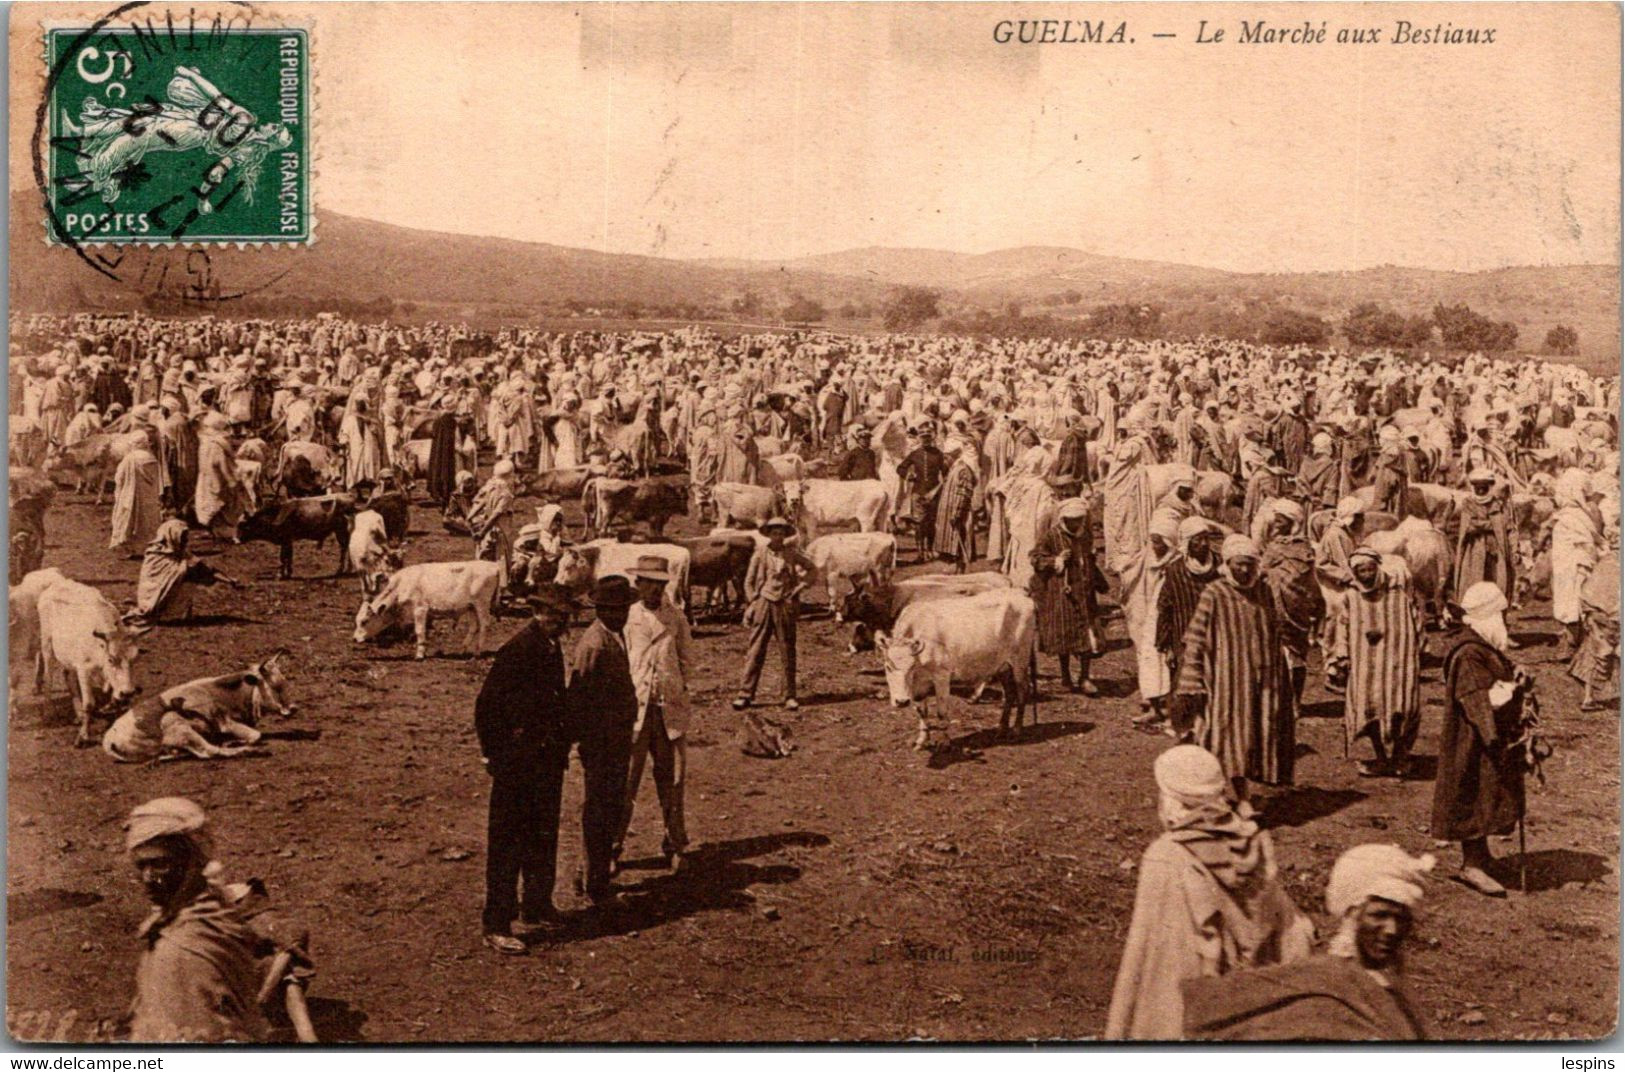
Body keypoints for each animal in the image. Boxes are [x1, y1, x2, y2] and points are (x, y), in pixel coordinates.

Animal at [35, 578, 143, 743]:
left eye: (135, 659)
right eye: (111, 659)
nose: (128, 692)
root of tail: (59, 583)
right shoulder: (84, 669)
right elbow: (89, 704)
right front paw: (83, 736)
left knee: (68, 675)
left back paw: (78, 714)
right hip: (47, 643)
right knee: (48, 677)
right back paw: (48, 713)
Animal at [355, 555, 500, 656]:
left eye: (364, 621)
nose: (355, 639)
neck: (401, 586)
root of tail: (494, 565)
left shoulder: (420, 609)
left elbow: (419, 631)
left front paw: (419, 655)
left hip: (482, 603)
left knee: (484, 625)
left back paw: (477, 652)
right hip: (471, 606)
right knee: (473, 627)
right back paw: (462, 649)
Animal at [884, 584, 1033, 753]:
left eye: (911, 667)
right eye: (888, 667)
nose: (901, 701)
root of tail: (1020, 594)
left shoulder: (941, 676)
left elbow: (942, 712)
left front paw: (944, 743)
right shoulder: (919, 685)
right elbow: (922, 711)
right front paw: (921, 741)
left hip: (1020, 661)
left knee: (1022, 691)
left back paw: (1016, 731)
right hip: (1003, 666)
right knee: (1009, 693)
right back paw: (1001, 729)